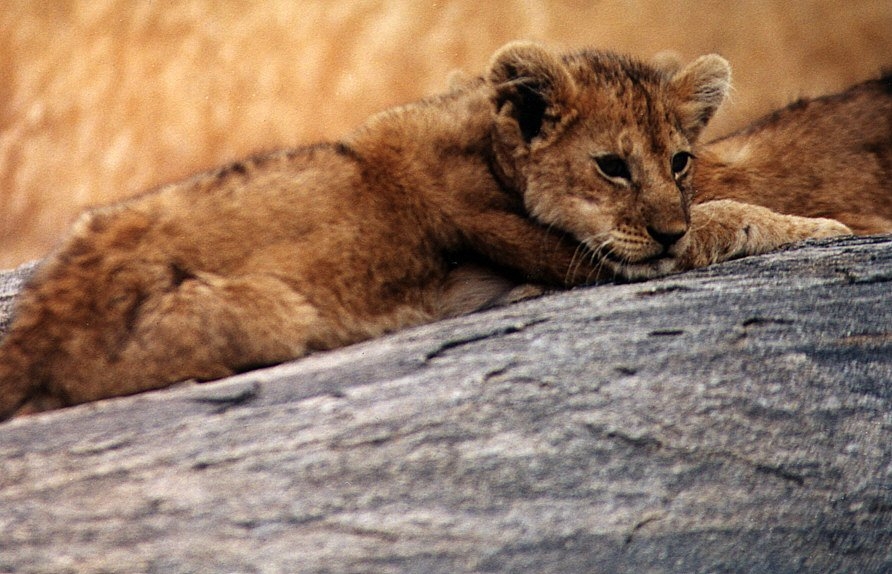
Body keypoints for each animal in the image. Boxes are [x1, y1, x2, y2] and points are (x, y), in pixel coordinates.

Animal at [0, 41, 852, 418]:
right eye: (611, 166)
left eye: (678, 159)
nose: (664, 230)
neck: (488, 144)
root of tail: (28, 339)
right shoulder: (583, 255)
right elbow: (721, 220)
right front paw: (825, 223)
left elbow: (713, 208)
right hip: (266, 311)